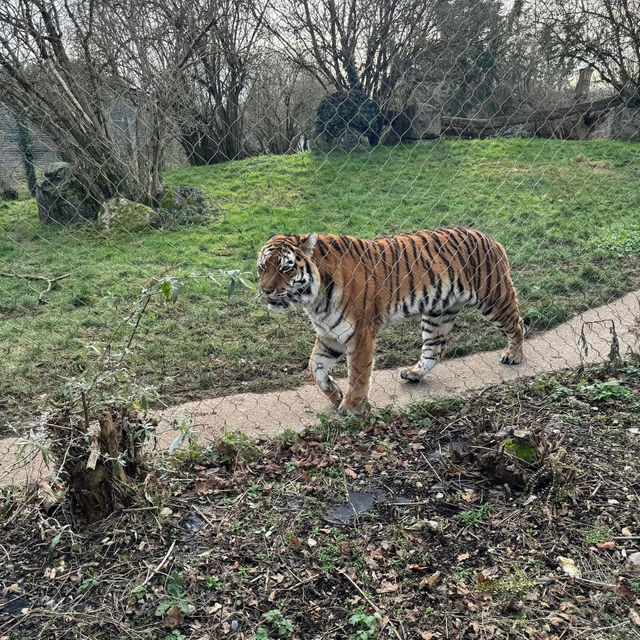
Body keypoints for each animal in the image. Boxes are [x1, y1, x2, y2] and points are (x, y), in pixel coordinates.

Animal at [258, 228, 528, 418]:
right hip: (439, 313)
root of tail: (489, 237)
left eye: (285, 268)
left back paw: (514, 355)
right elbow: (315, 367)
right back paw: (414, 374)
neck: (313, 299)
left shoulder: (360, 333)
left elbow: (358, 373)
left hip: (494, 298)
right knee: (433, 350)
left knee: (517, 324)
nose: (266, 290)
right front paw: (334, 395)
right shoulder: (329, 334)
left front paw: (352, 406)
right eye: (262, 267)